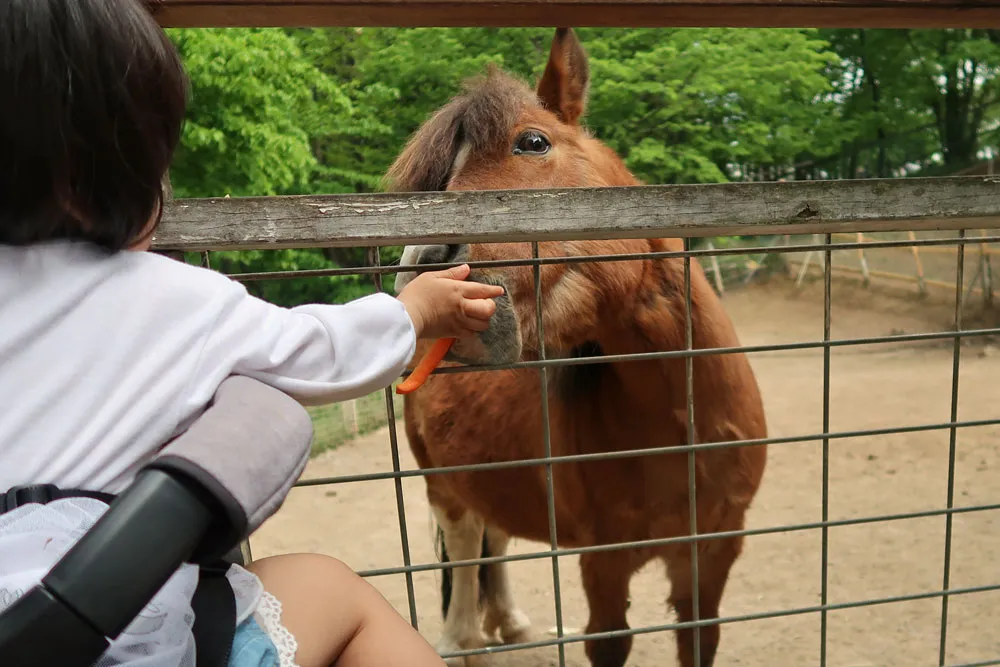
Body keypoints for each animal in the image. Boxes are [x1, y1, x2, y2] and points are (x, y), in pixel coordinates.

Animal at [388, 27, 764, 667]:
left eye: (533, 142)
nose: (421, 268)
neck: (683, 424)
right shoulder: (603, 563)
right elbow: (609, 640)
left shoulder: (712, 555)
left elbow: (698, 639)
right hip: (443, 485)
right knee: (464, 543)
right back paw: (461, 640)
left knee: (494, 533)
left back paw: (509, 623)